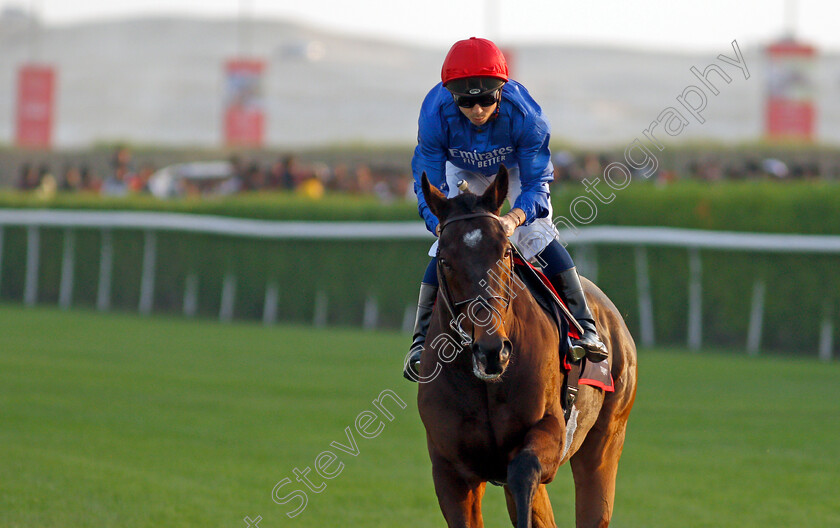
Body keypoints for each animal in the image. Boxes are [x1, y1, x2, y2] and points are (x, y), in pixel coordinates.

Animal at [416, 166, 640, 528]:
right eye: (446, 261)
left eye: (506, 252)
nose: (492, 350)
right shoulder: (451, 469)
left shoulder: (549, 432)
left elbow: (525, 471)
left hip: (606, 440)